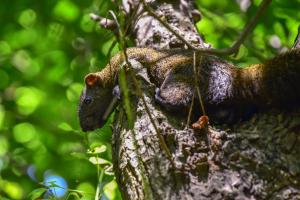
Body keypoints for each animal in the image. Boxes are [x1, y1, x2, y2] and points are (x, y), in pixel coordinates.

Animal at [78, 47, 300, 131]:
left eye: (88, 101)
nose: (85, 127)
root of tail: (236, 77)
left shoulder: (132, 60)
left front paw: (117, 92)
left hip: (184, 78)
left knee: (181, 99)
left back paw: (161, 97)